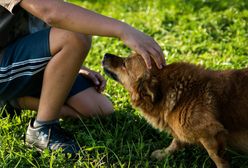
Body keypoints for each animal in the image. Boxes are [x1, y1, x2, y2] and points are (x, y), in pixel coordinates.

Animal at [101, 52, 248, 168]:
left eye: (124, 64)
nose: (105, 54)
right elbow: (176, 142)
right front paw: (163, 154)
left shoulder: (211, 133)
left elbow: (217, 158)